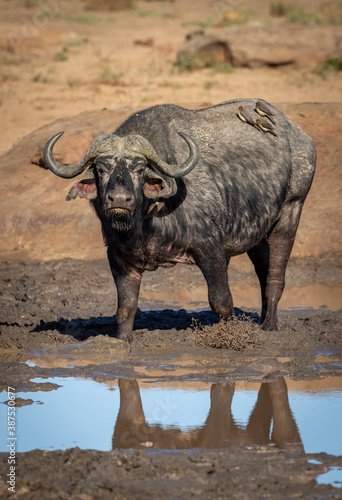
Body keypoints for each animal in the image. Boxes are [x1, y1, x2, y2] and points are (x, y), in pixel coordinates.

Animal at [44, 99, 316, 342]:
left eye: (139, 169)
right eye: (101, 169)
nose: (119, 199)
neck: (147, 222)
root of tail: (301, 138)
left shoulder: (211, 249)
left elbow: (221, 300)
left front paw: (232, 335)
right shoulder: (119, 257)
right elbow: (126, 308)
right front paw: (123, 341)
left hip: (291, 212)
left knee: (275, 277)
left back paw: (269, 326)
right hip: (257, 237)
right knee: (263, 271)